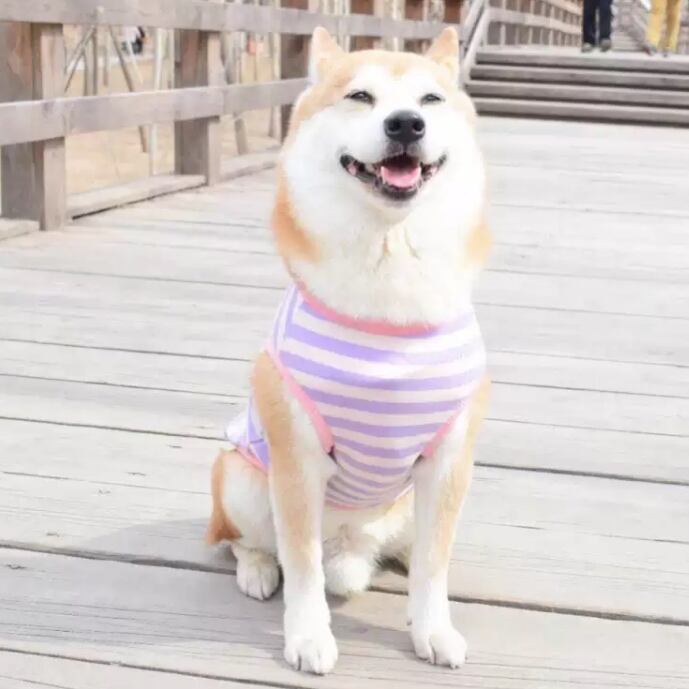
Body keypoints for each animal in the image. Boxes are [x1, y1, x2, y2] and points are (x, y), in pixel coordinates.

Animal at [207, 26, 490, 675]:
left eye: (431, 99)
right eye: (360, 96)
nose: (406, 123)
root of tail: (352, 544)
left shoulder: (449, 461)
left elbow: (435, 565)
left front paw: (433, 628)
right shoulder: (296, 462)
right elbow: (303, 566)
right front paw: (308, 635)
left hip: (408, 503)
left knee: (416, 550)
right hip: (241, 477)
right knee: (247, 542)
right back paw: (257, 570)